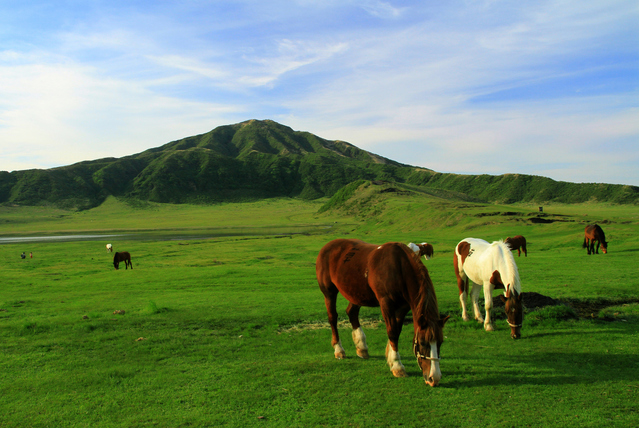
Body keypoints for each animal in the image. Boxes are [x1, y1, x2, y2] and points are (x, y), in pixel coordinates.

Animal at [316, 239, 450, 386]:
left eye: (440, 342)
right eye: (422, 343)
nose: (434, 378)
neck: (399, 269)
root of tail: (328, 245)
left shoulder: (403, 307)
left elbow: (397, 331)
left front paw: (391, 358)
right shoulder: (386, 303)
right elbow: (392, 332)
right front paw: (397, 365)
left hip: (357, 293)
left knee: (352, 313)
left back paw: (362, 347)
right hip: (329, 292)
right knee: (332, 318)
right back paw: (339, 349)